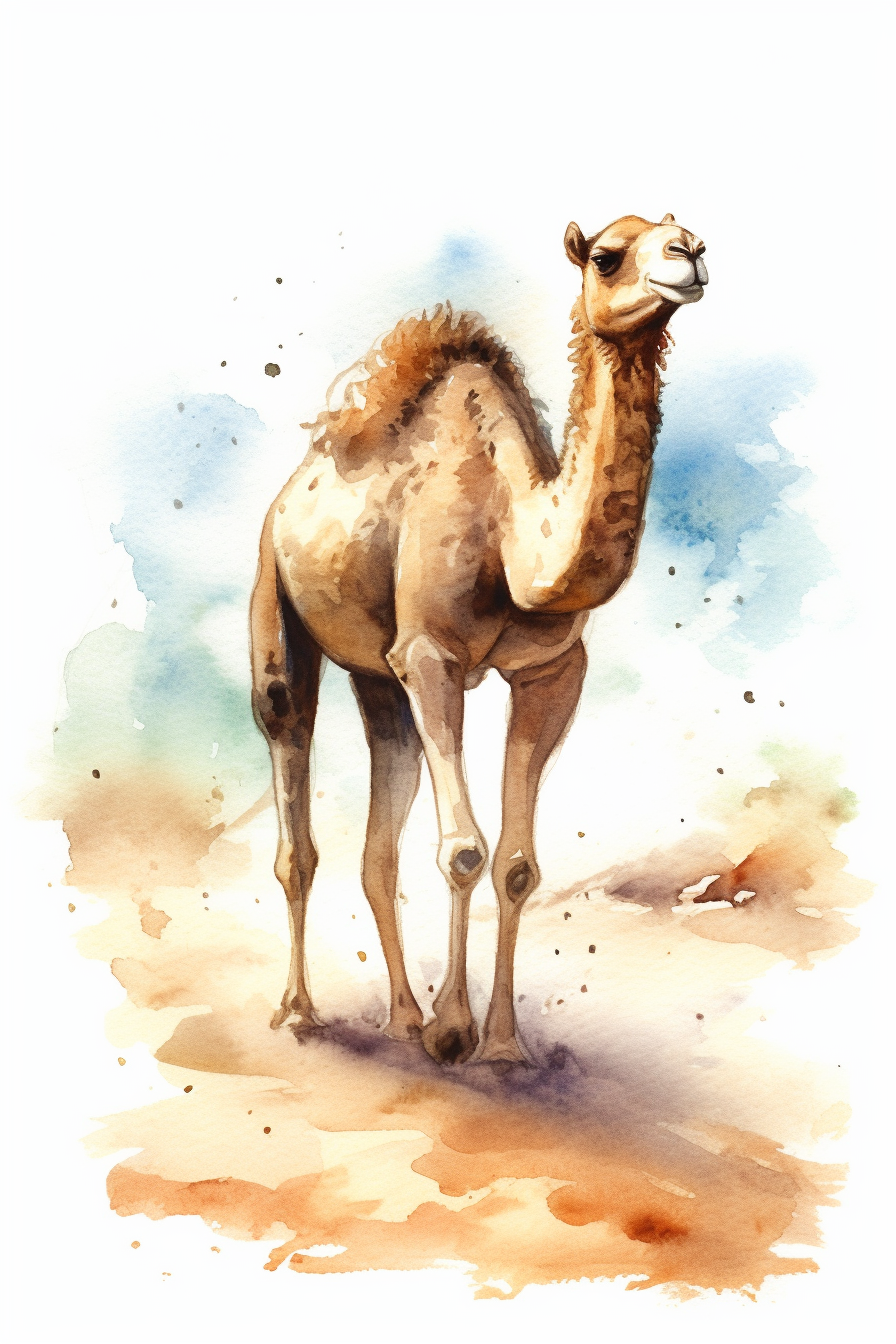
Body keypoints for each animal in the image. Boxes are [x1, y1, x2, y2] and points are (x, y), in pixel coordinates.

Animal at [250, 213, 708, 1065]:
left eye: (690, 235)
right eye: (607, 255)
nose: (686, 254)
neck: (513, 534)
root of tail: (291, 493)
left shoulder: (553, 670)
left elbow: (517, 864)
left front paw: (500, 1044)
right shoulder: (432, 657)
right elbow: (463, 849)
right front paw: (454, 1031)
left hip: (376, 676)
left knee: (379, 838)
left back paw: (400, 1019)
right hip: (276, 606)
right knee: (294, 806)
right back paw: (299, 1013)